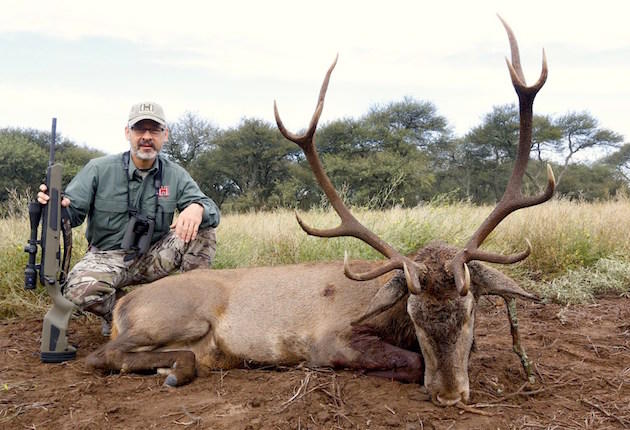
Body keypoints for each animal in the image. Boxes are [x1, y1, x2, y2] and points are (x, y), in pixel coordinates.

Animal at [86, 17, 556, 406]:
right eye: (413, 314)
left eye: (471, 309)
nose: (450, 395)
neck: (386, 315)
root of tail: (124, 306)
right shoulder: (330, 340)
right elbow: (411, 362)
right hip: (176, 316)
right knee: (101, 355)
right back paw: (173, 369)